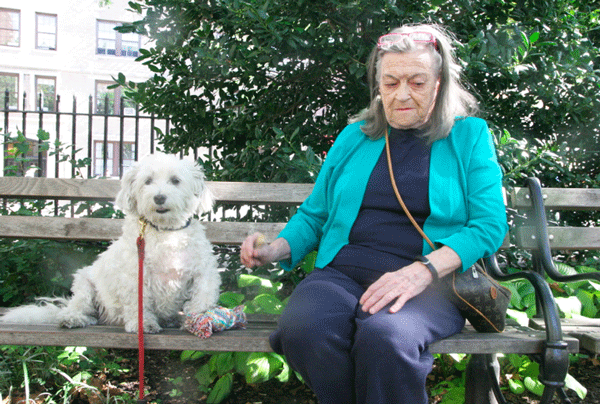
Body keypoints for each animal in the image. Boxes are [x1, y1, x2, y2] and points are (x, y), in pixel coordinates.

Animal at [0, 153, 220, 332]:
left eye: (175, 180)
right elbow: (138, 304)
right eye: (147, 181)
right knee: (79, 308)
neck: (166, 232)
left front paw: (198, 320)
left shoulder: (203, 272)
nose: (159, 197)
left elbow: (202, 298)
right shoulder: (135, 277)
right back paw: (74, 318)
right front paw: (143, 324)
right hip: (84, 284)